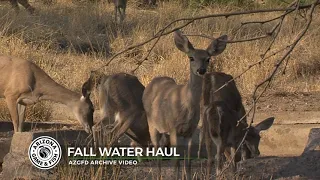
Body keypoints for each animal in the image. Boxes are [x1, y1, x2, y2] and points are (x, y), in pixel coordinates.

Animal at [142, 30, 228, 179]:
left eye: (208, 59)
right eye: (191, 58)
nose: (201, 70)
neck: (186, 106)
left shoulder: (190, 130)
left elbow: (188, 162)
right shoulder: (173, 128)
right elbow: (176, 161)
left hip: (164, 129)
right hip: (152, 123)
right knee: (156, 149)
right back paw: (158, 175)